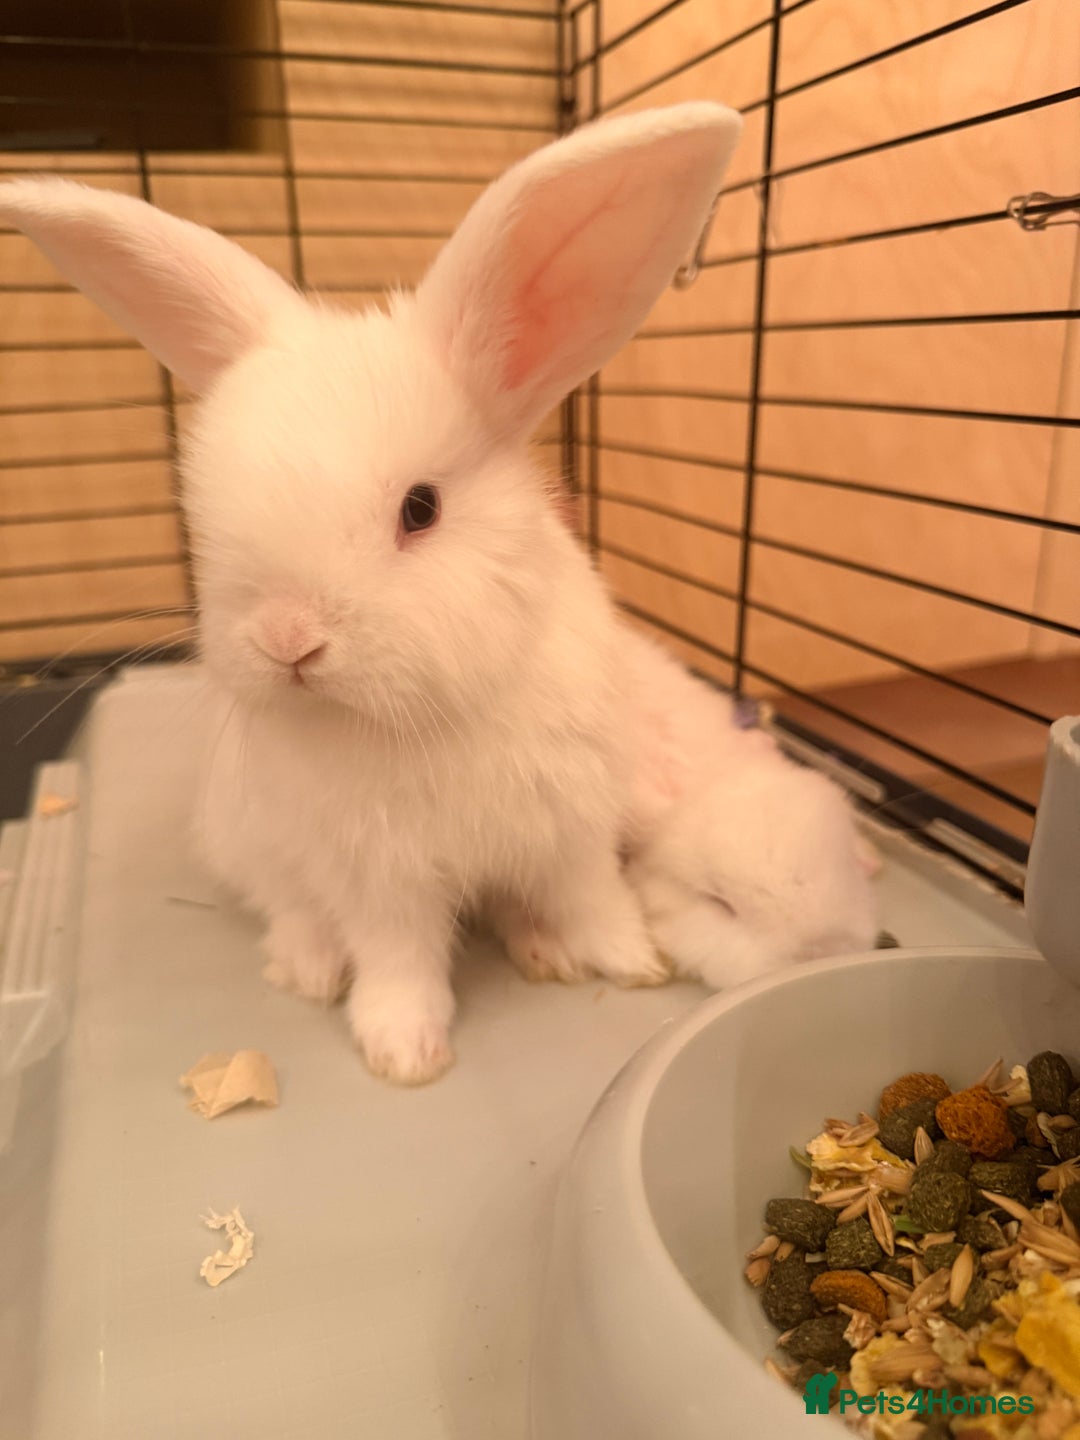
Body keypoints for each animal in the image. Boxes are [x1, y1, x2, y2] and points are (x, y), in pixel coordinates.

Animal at [0, 103, 748, 1084]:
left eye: (420, 509)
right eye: (205, 514)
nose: (288, 640)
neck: (429, 711)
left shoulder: (572, 827)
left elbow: (592, 897)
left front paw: (634, 962)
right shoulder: (376, 877)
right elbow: (398, 956)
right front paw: (404, 1051)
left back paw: (540, 948)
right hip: (252, 841)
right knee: (291, 908)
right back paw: (309, 968)